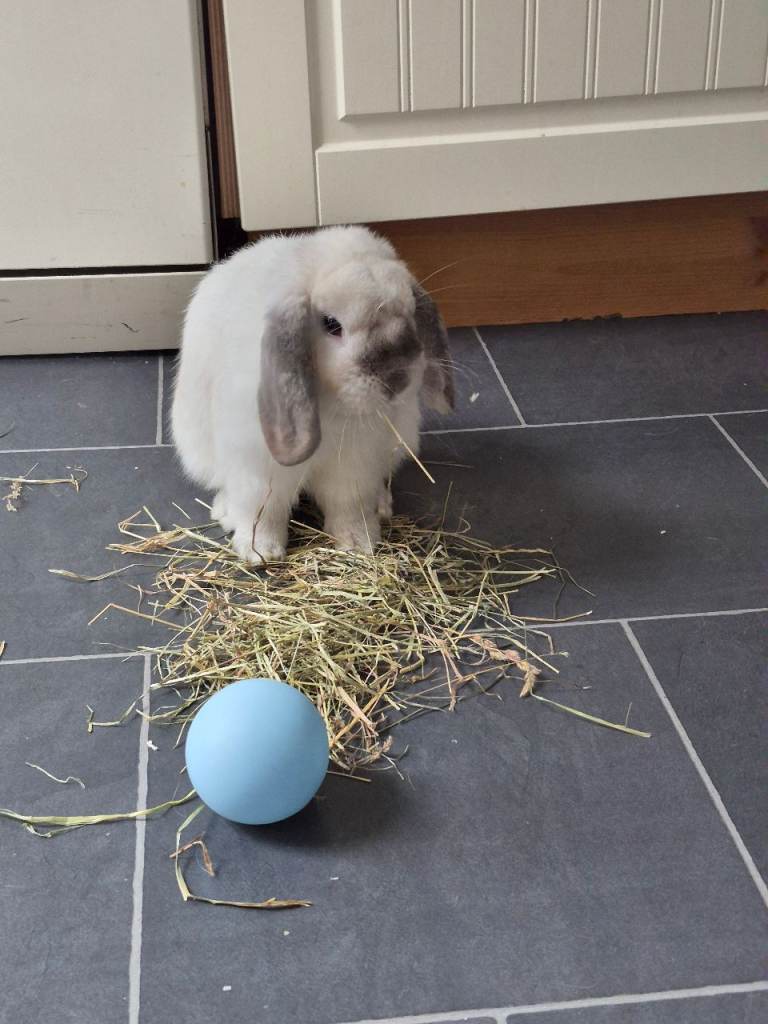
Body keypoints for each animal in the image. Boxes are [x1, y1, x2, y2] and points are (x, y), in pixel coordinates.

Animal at [171, 225, 454, 564]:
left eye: (410, 313)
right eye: (331, 324)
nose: (397, 377)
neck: (332, 408)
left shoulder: (355, 465)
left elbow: (348, 506)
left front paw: (358, 543)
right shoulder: (258, 470)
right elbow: (261, 512)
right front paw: (261, 553)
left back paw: (382, 505)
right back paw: (226, 513)